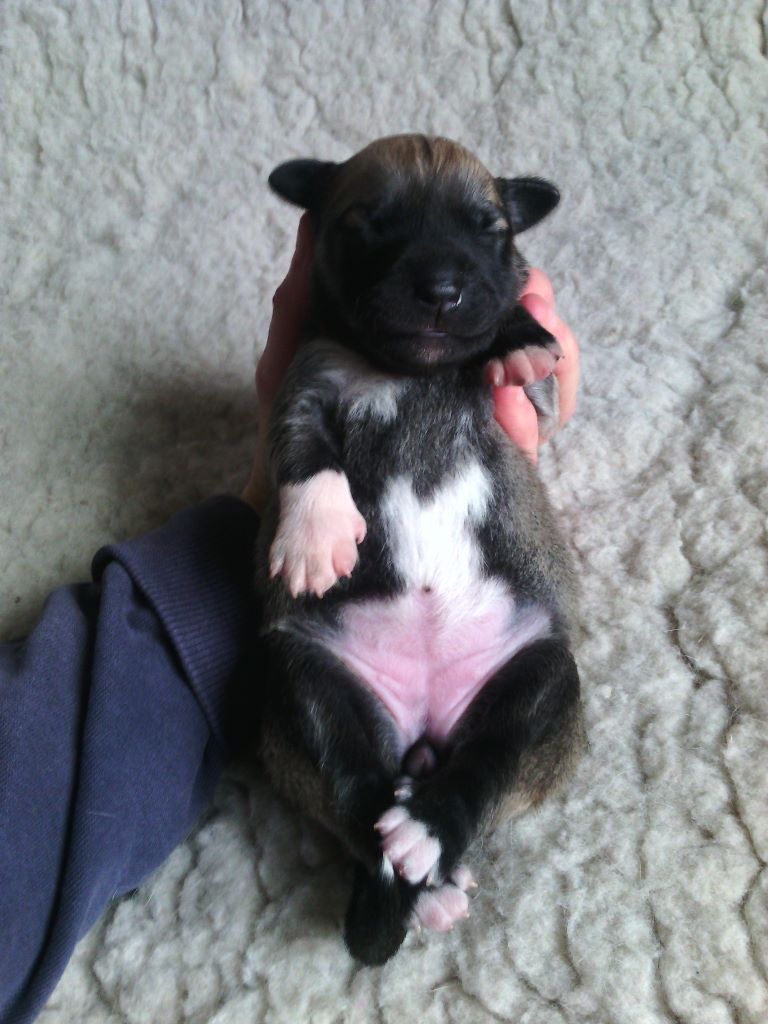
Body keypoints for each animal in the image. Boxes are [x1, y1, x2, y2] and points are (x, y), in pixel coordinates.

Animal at [254, 134, 584, 965]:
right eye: (368, 225)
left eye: (491, 230)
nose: (441, 287)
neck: (408, 371)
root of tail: (426, 729)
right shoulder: (305, 379)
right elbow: (302, 446)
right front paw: (315, 532)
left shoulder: (530, 408)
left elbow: (518, 335)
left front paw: (519, 336)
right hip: (303, 679)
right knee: (352, 783)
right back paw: (404, 882)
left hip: (544, 675)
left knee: (493, 755)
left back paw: (429, 834)